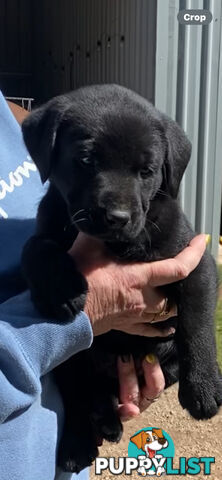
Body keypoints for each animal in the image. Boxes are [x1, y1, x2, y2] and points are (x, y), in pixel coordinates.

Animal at [21, 85, 222, 472]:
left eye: (146, 170)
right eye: (86, 160)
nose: (117, 217)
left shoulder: (196, 262)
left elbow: (197, 323)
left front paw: (203, 388)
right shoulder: (51, 220)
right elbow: (37, 246)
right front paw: (62, 289)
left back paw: (107, 421)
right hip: (71, 361)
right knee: (79, 394)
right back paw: (80, 442)